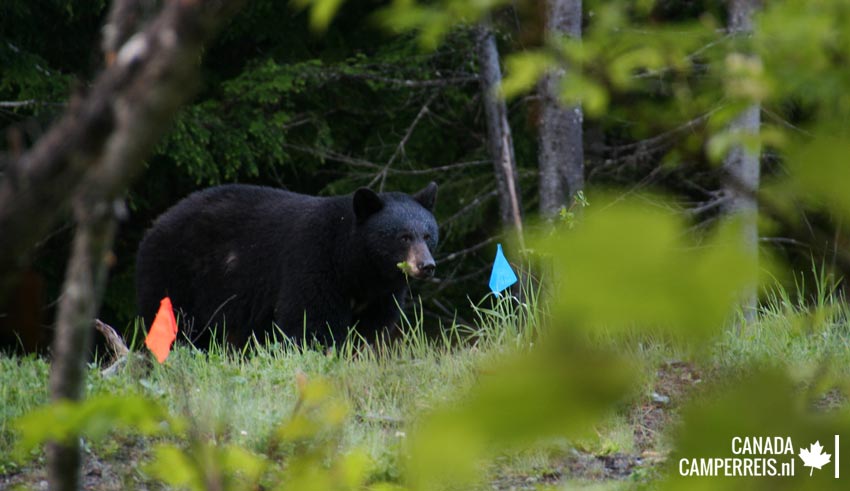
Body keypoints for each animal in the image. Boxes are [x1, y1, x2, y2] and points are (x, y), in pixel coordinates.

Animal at [135, 182, 438, 347]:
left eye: (428, 235)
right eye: (403, 236)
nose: (426, 265)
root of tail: (155, 225)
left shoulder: (380, 294)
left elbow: (370, 329)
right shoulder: (313, 258)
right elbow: (311, 320)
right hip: (176, 273)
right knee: (174, 324)